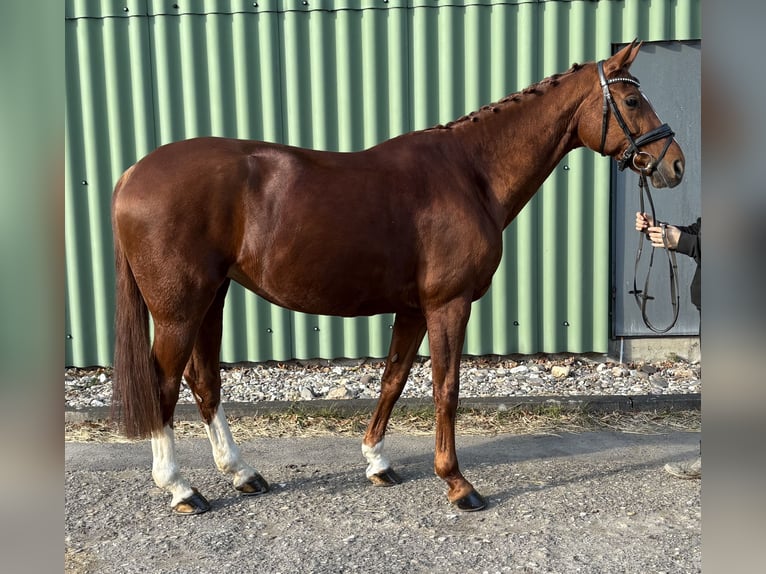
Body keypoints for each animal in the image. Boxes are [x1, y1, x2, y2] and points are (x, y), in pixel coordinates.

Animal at [111, 41, 688, 516]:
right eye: (632, 101)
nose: (676, 165)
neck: (470, 173)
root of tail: (131, 175)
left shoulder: (413, 308)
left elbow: (394, 379)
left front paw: (377, 462)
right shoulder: (448, 304)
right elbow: (445, 388)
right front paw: (457, 483)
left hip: (212, 298)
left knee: (204, 381)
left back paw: (242, 474)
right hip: (180, 309)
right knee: (164, 386)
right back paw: (181, 489)